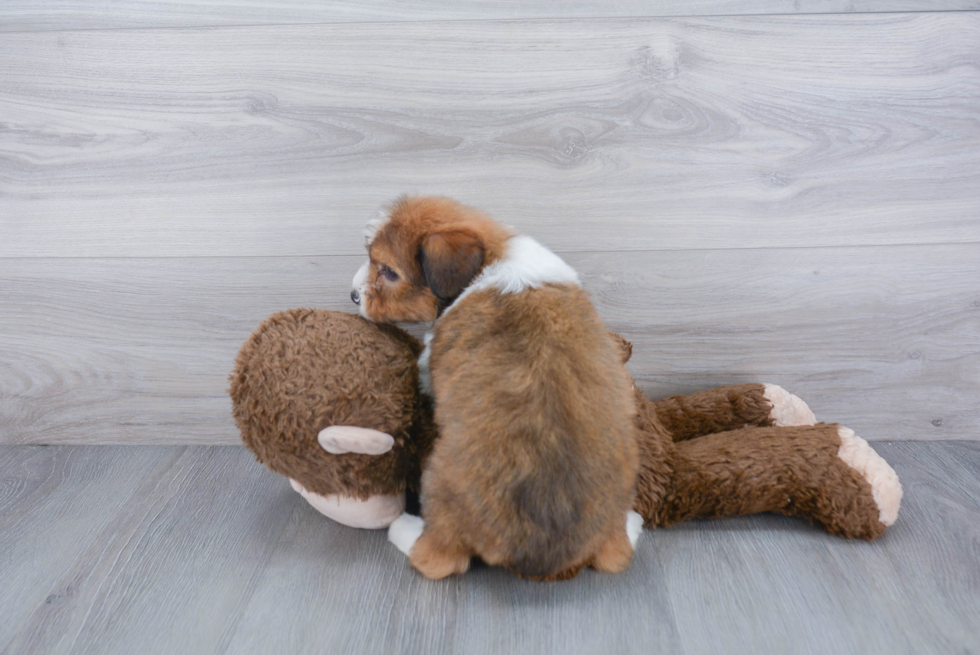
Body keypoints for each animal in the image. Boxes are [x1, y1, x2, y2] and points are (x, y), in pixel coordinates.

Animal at [352, 196, 644, 580]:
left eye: (388, 271)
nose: (353, 295)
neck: (492, 260)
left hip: (438, 479)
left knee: (436, 558)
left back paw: (406, 530)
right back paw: (632, 526)